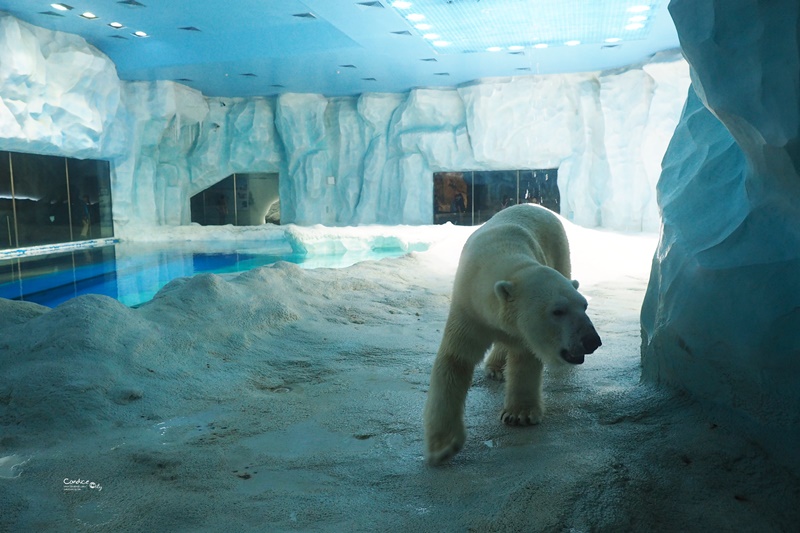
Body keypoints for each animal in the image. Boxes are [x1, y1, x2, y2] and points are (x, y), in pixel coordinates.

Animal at [424, 202, 600, 464]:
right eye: (557, 311)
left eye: (584, 305)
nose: (591, 340)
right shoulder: (468, 306)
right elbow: (455, 360)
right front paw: (442, 446)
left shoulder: (523, 331)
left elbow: (525, 359)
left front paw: (520, 415)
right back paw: (495, 368)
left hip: (560, 250)